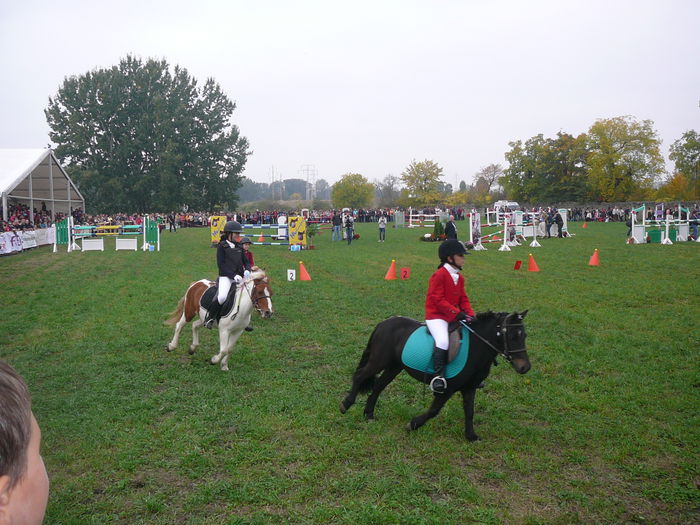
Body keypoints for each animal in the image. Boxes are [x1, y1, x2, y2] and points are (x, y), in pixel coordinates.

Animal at [340, 312, 532, 438]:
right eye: (512, 336)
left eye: (524, 335)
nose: (525, 367)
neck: (476, 347)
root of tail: (385, 322)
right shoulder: (447, 389)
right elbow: (434, 410)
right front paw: (413, 424)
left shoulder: (469, 388)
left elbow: (469, 411)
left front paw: (471, 436)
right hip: (378, 361)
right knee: (360, 376)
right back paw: (345, 405)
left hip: (394, 366)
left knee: (379, 386)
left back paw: (369, 415)